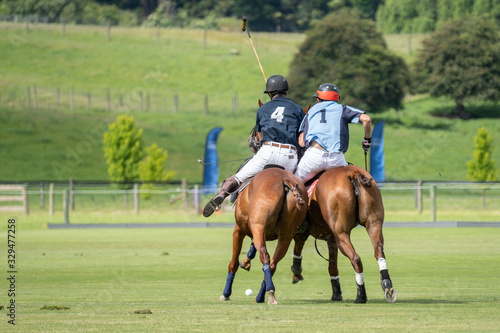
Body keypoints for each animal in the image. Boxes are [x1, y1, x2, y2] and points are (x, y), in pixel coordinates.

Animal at [220, 166, 306, 304]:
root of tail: (286, 180)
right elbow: (251, 250)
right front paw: (246, 262)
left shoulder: (239, 230)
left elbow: (233, 263)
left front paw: (226, 294)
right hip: (286, 233)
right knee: (273, 264)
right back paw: (262, 296)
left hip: (258, 226)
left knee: (264, 256)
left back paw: (269, 292)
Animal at [292, 165, 396, 302]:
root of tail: (353, 173)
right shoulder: (331, 238)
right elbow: (332, 267)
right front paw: (336, 294)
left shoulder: (301, 233)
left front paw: (296, 272)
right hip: (373, 223)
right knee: (378, 250)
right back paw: (387, 286)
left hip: (341, 233)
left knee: (355, 258)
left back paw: (361, 295)